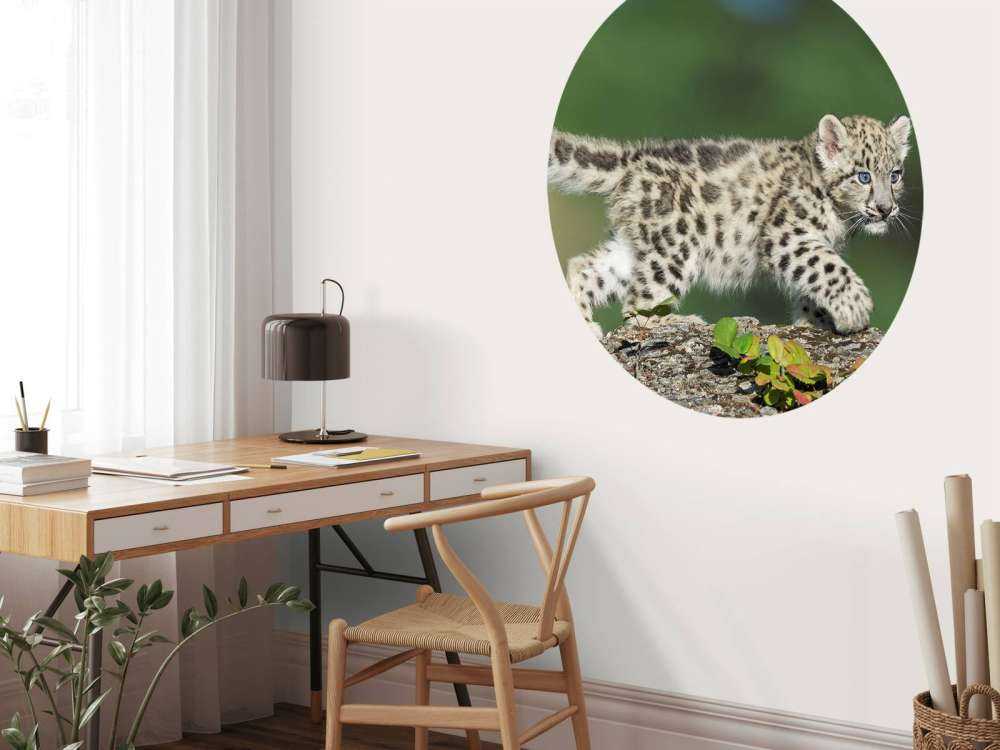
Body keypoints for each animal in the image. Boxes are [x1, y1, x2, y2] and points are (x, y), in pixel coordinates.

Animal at [548, 114, 913, 338]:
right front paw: (855, 307)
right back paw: (679, 321)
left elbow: (812, 282)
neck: (839, 217)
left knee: (586, 267)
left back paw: (586, 322)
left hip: (638, 247)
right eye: (863, 176)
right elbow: (826, 268)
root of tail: (632, 160)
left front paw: (817, 321)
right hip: (676, 246)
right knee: (638, 302)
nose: (885, 209)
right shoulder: (788, 235)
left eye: (895, 175)